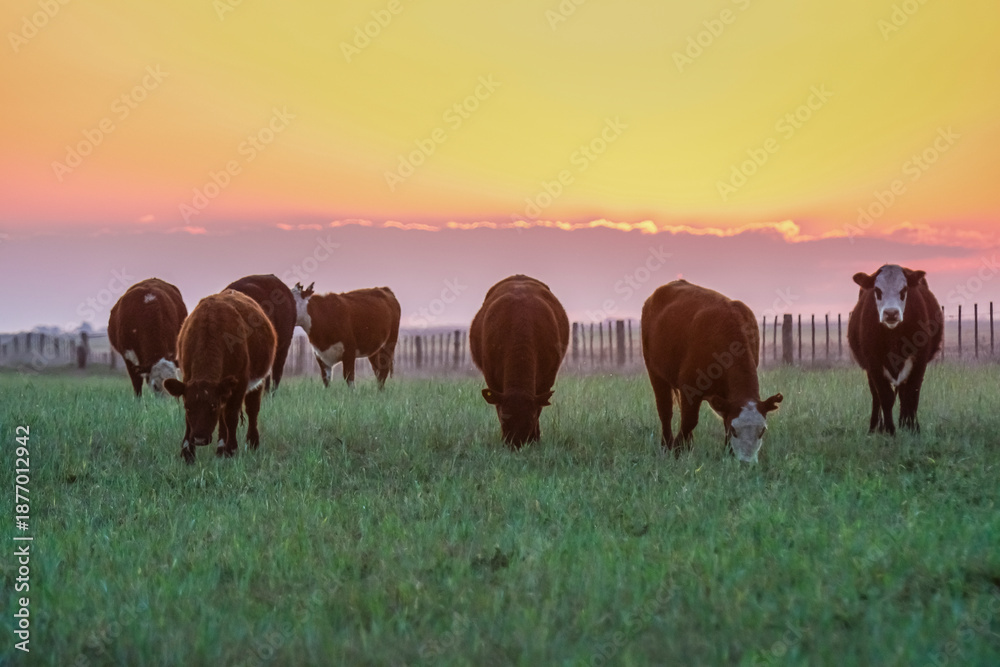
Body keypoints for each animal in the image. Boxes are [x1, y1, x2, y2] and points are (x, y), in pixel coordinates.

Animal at [164, 290, 277, 463]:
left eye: (212, 406)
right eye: (188, 407)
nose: (199, 439)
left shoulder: (240, 382)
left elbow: (231, 416)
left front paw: (232, 449)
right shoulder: (188, 378)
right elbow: (191, 421)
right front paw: (188, 452)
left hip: (257, 382)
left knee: (252, 410)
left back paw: (252, 443)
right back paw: (220, 448)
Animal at [469, 275, 569, 449]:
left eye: (530, 419)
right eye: (505, 418)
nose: (516, 444)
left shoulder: (546, 381)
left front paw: (535, 438)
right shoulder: (492, 380)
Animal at [641, 280, 782, 463]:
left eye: (762, 430)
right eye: (735, 430)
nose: (746, 462)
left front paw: (727, 452)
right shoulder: (690, 386)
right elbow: (689, 421)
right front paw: (678, 450)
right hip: (656, 374)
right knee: (665, 412)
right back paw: (666, 445)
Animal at [848, 264, 942, 435]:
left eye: (904, 290)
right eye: (877, 290)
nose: (891, 313)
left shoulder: (920, 361)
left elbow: (912, 394)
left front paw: (912, 428)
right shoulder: (873, 363)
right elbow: (885, 396)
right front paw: (889, 430)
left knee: (904, 394)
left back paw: (904, 423)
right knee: (876, 396)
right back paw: (875, 427)